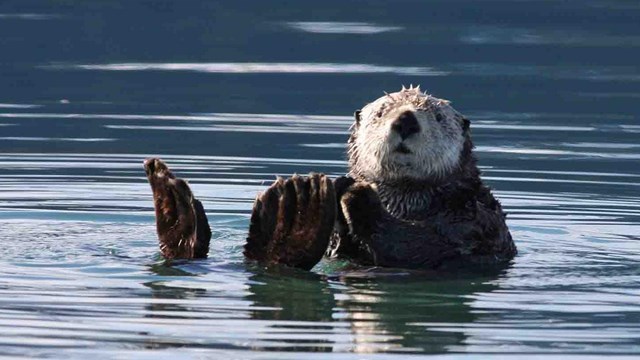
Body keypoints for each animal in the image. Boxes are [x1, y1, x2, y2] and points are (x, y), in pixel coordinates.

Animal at [144, 86, 516, 270]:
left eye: (438, 117)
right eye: (381, 113)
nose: (406, 120)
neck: (404, 201)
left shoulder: (475, 220)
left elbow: (425, 247)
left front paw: (358, 194)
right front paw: (345, 185)